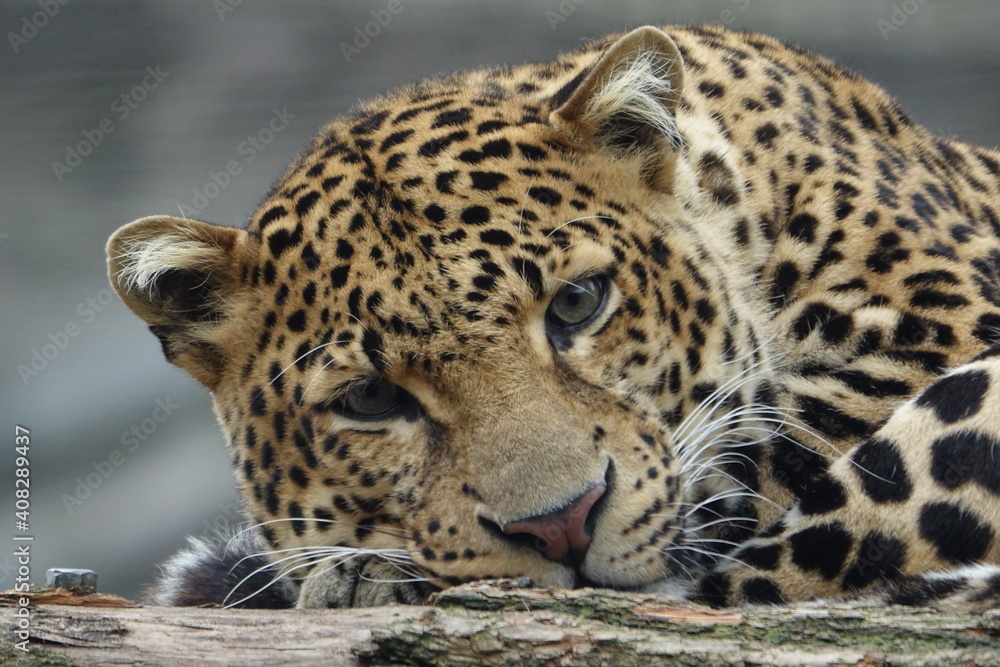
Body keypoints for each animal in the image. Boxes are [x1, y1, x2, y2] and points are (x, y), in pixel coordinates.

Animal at [106, 25, 1000, 610]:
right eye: (369, 398)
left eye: (576, 304)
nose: (561, 527)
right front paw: (354, 569)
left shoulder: (943, 313)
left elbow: (770, 441)